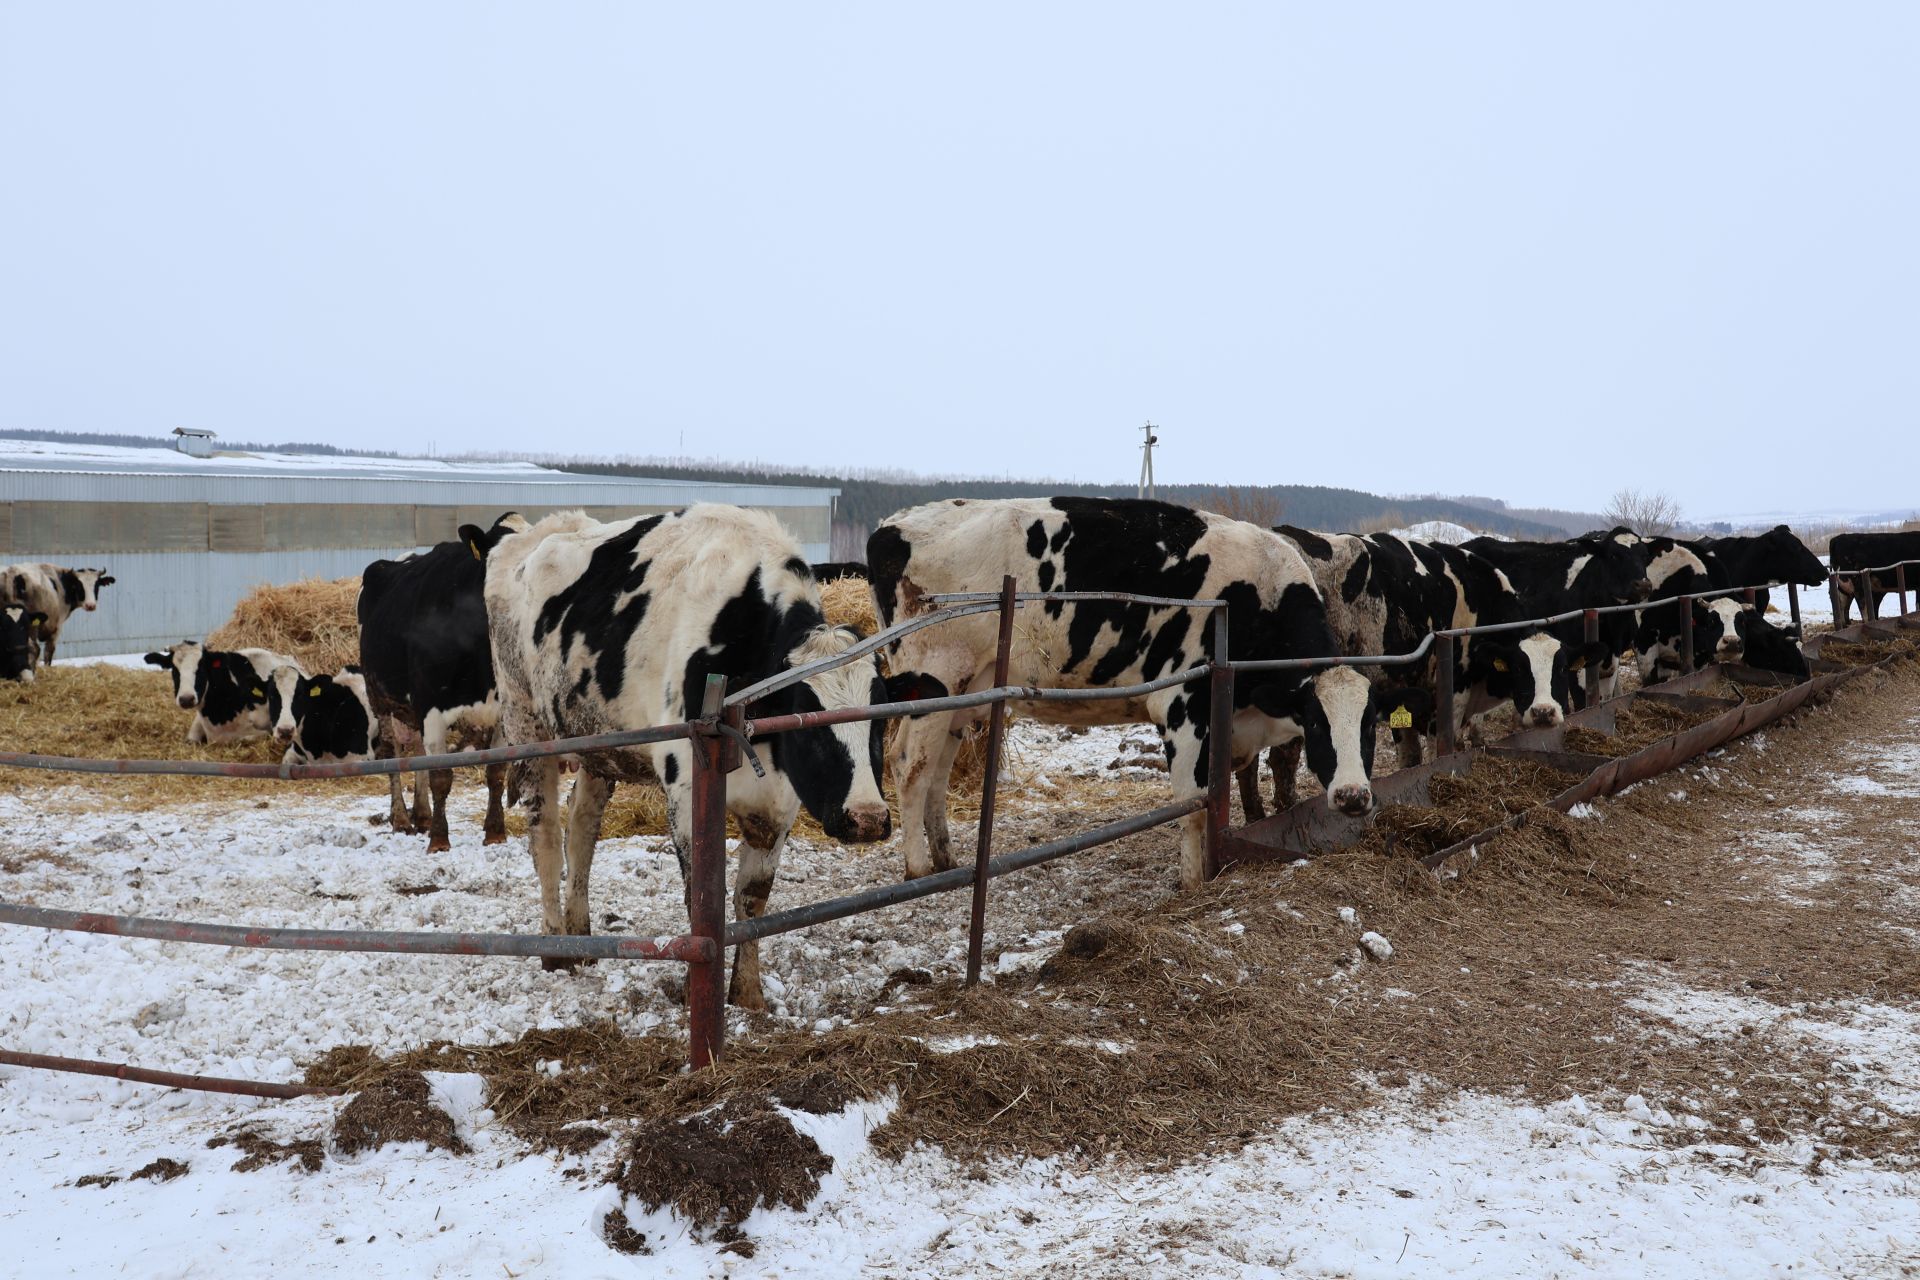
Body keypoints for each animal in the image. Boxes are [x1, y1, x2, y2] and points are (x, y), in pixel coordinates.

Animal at [357, 514, 526, 855]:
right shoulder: (431, 706)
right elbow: (440, 775)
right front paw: (439, 840)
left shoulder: (501, 710)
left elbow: (495, 772)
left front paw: (495, 832)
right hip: (379, 697)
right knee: (392, 752)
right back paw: (401, 819)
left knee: (417, 750)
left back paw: (422, 815)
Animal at [476, 506, 933, 1005]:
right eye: (806, 724)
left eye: (881, 720)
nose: (867, 819)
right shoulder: (686, 786)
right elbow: (700, 896)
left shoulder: (779, 801)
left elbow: (753, 896)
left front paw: (748, 994)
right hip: (526, 721)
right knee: (544, 835)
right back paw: (555, 947)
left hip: (597, 741)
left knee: (581, 826)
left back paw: (580, 936)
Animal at [875, 495, 1397, 898]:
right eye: (1316, 723)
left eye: (1369, 726)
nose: (1353, 796)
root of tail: (894, 523)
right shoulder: (1184, 704)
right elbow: (1194, 804)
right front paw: (1193, 882)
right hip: (932, 680)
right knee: (909, 766)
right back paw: (918, 868)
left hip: (964, 693)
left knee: (938, 770)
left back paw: (946, 858)